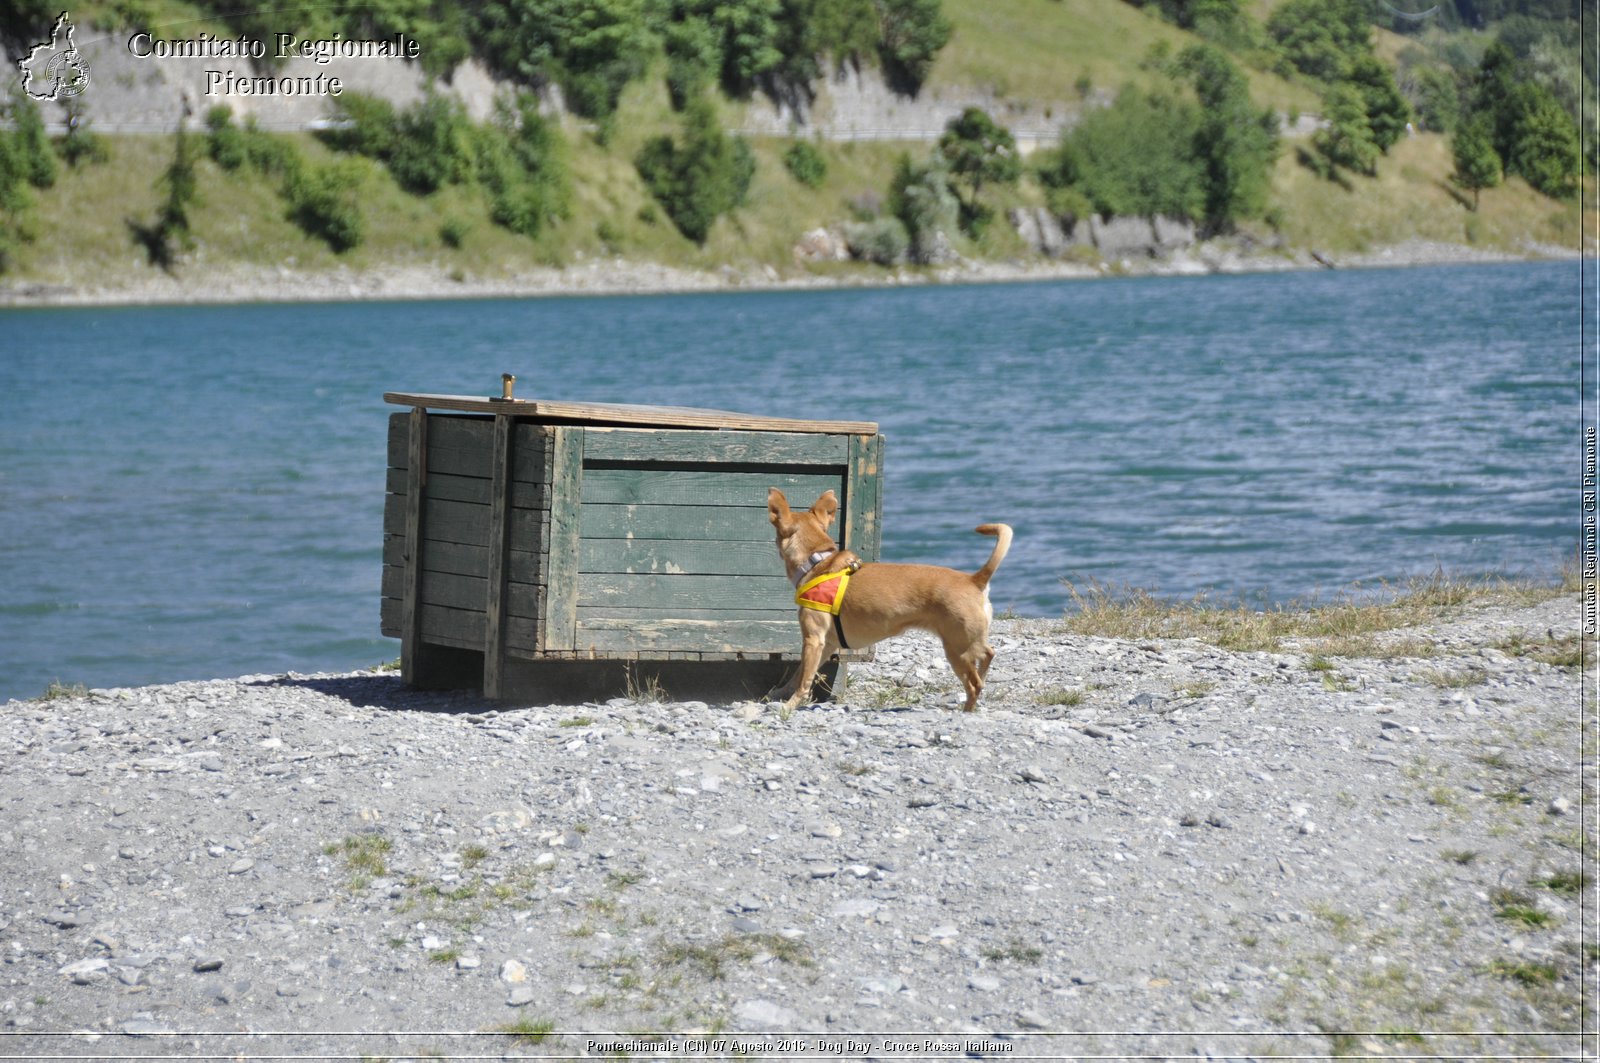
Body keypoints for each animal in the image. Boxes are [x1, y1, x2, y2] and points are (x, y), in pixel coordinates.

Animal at [764, 489, 1011, 714]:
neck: (816, 561)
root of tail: (974, 580)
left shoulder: (813, 640)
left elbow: (804, 679)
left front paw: (790, 705)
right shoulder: (827, 644)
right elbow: (798, 674)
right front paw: (780, 692)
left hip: (957, 648)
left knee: (974, 683)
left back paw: (967, 710)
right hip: (968, 642)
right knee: (988, 655)